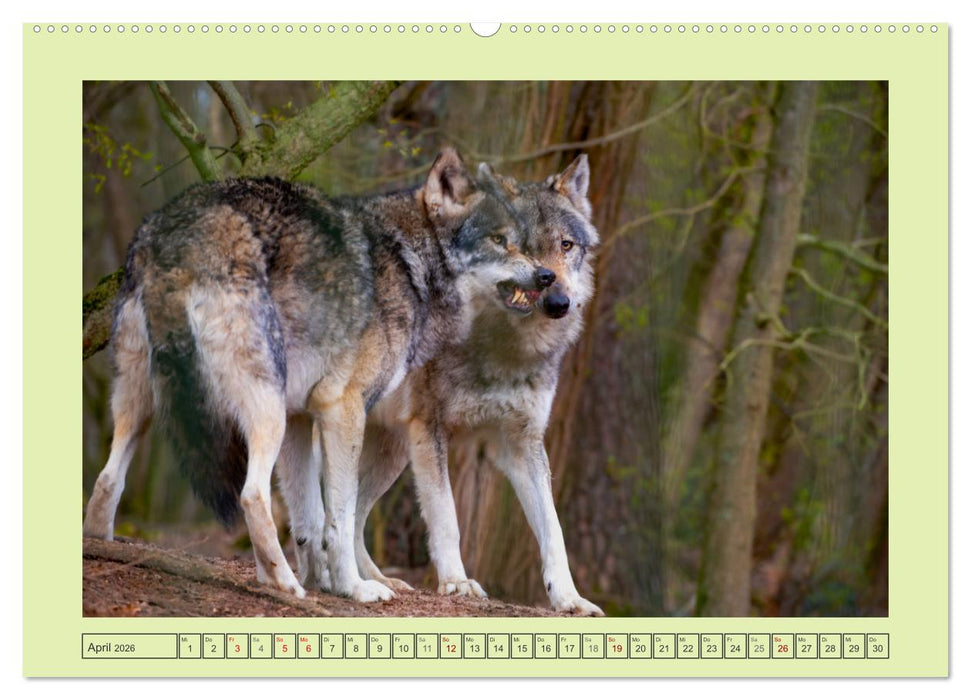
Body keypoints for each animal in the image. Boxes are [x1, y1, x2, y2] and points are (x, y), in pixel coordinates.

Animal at [82, 148, 554, 602]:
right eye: (500, 241)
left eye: (521, 243)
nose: (547, 275)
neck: (410, 263)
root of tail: (176, 233)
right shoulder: (341, 408)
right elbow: (339, 516)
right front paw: (352, 589)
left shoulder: (301, 416)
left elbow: (310, 519)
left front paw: (323, 582)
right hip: (266, 408)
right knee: (252, 494)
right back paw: (286, 584)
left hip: (143, 403)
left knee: (107, 478)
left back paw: (103, 545)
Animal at [280, 155, 605, 615]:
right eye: (512, 244)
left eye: (566, 245)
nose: (556, 300)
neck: (502, 350)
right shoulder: (430, 430)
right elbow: (447, 517)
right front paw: (456, 582)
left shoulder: (521, 442)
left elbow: (553, 529)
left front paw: (569, 598)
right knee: (332, 509)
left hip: (391, 451)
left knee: (354, 515)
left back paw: (380, 580)